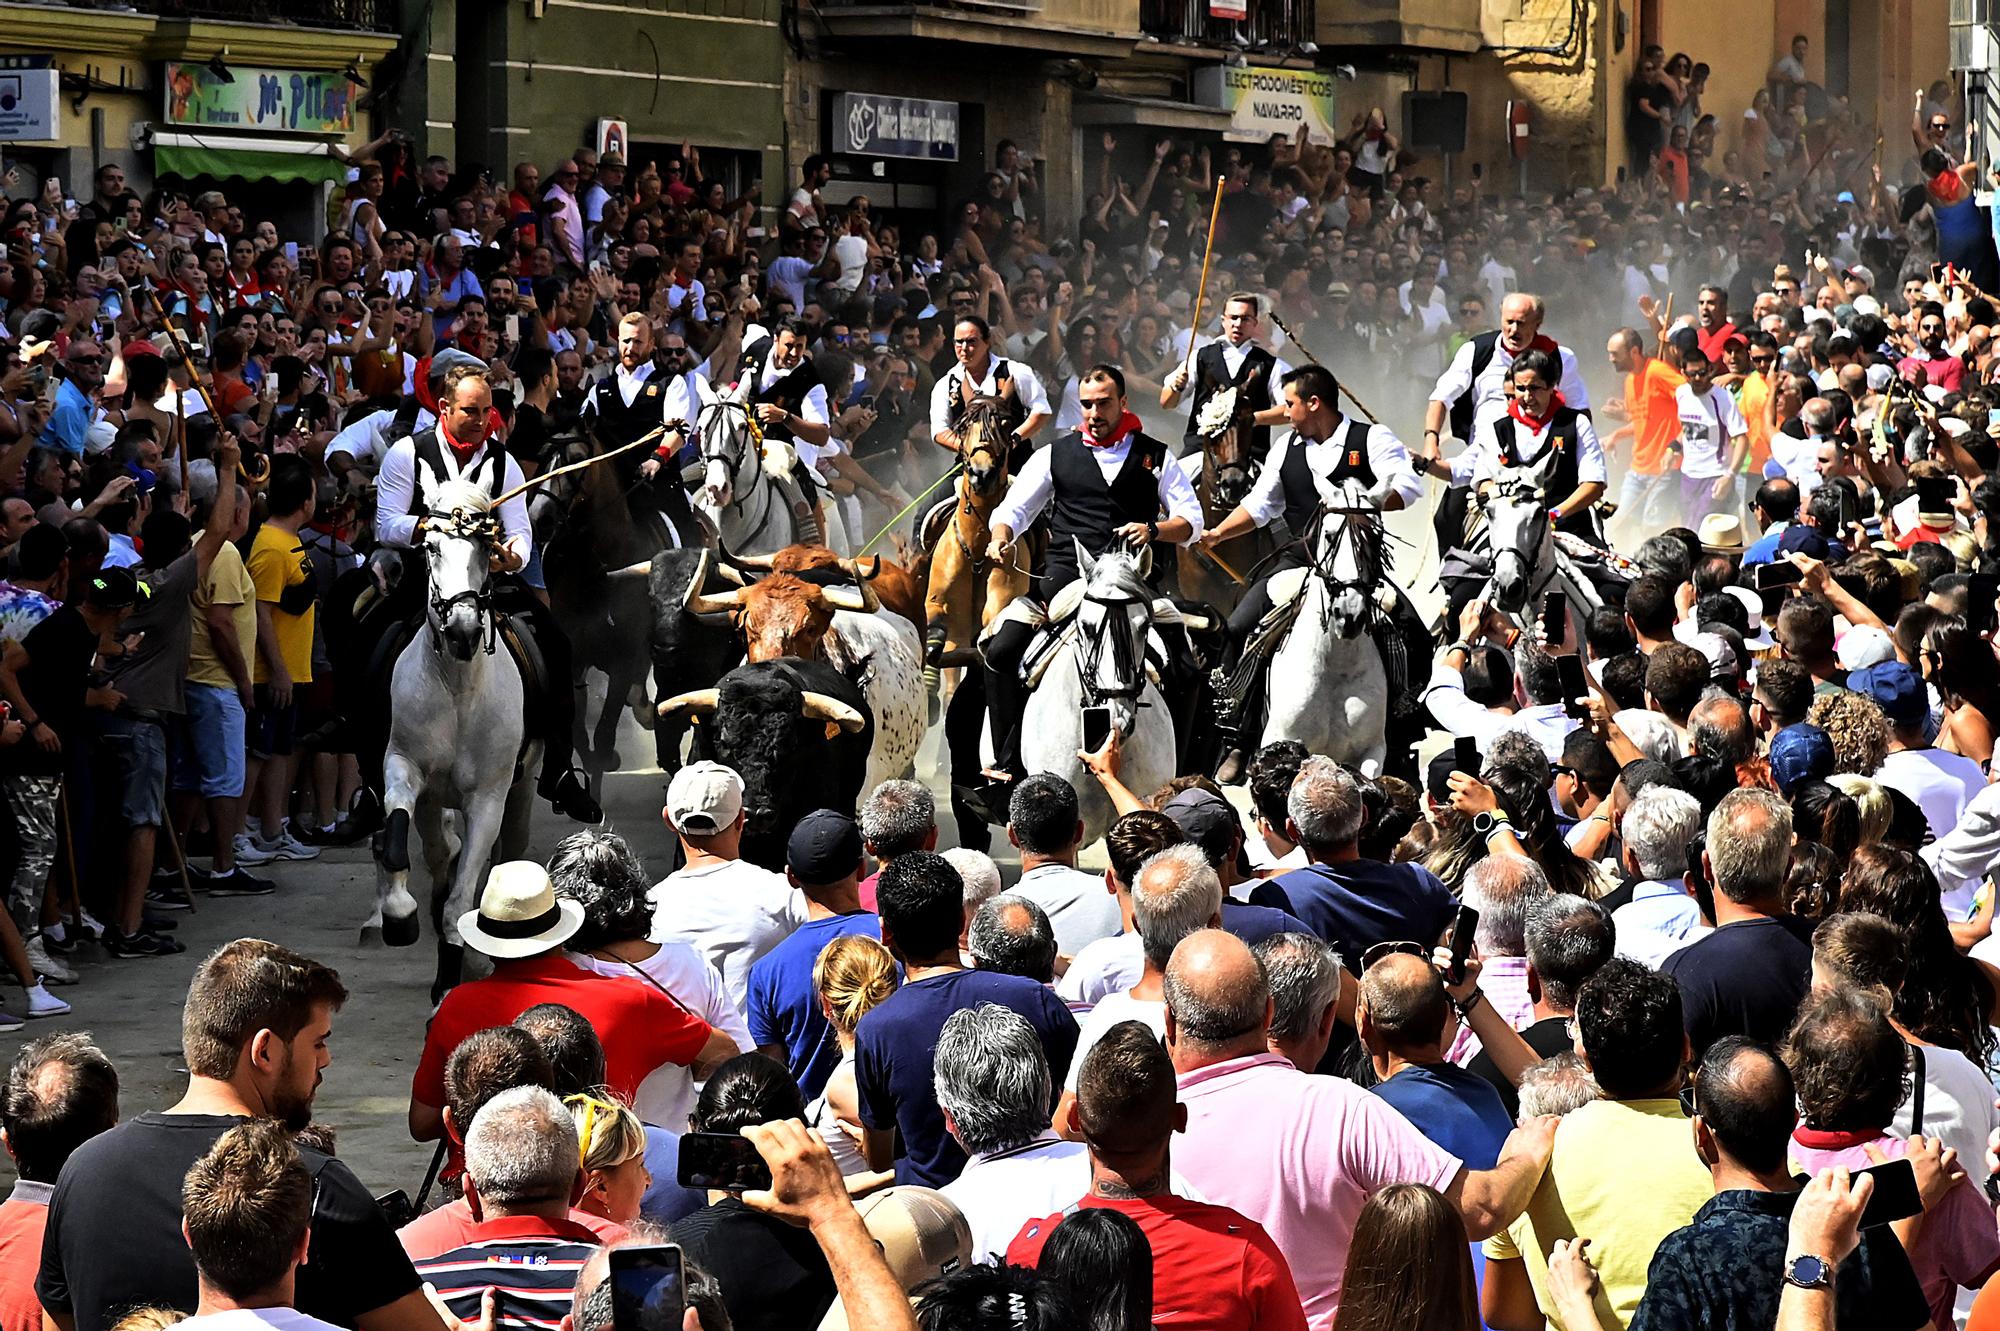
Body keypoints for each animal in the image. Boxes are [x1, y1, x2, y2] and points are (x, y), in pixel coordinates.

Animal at [368, 481, 536, 999]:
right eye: (431, 548)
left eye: (487, 547)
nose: (462, 631)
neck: (458, 686)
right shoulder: (404, 767)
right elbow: (398, 842)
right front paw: (398, 915)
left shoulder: (489, 798)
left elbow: (461, 900)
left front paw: (457, 975)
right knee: (439, 857)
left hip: (522, 790)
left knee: (503, 858)